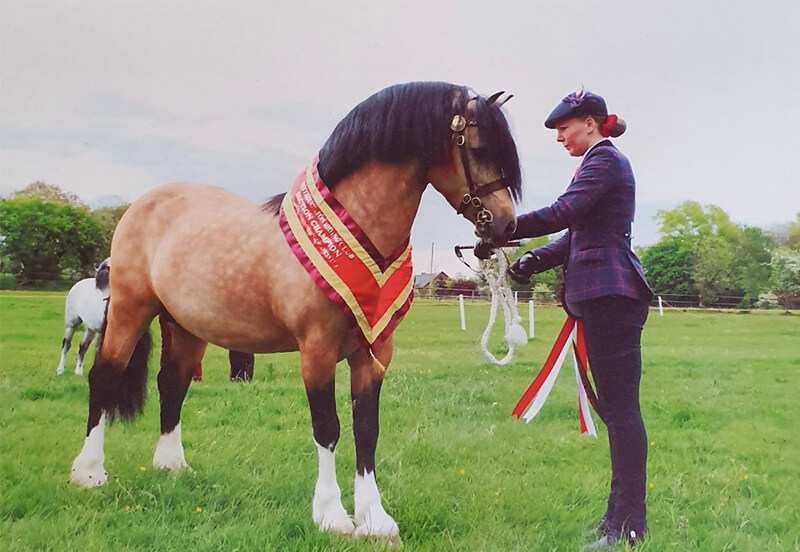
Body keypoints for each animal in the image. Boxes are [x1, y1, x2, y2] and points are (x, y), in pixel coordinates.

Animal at [70, 82, 524, 544]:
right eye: (479, 147)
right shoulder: (316, 351)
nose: (507, 226)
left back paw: (172, 466)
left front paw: (374, 520)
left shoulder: (374, 353)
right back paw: (89, 473)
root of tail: (143, 205)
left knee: (172, 383)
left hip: (184, 325)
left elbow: (367, 429)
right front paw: (332, 516)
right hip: (131, 309)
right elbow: (328, 427)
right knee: (104, 376)